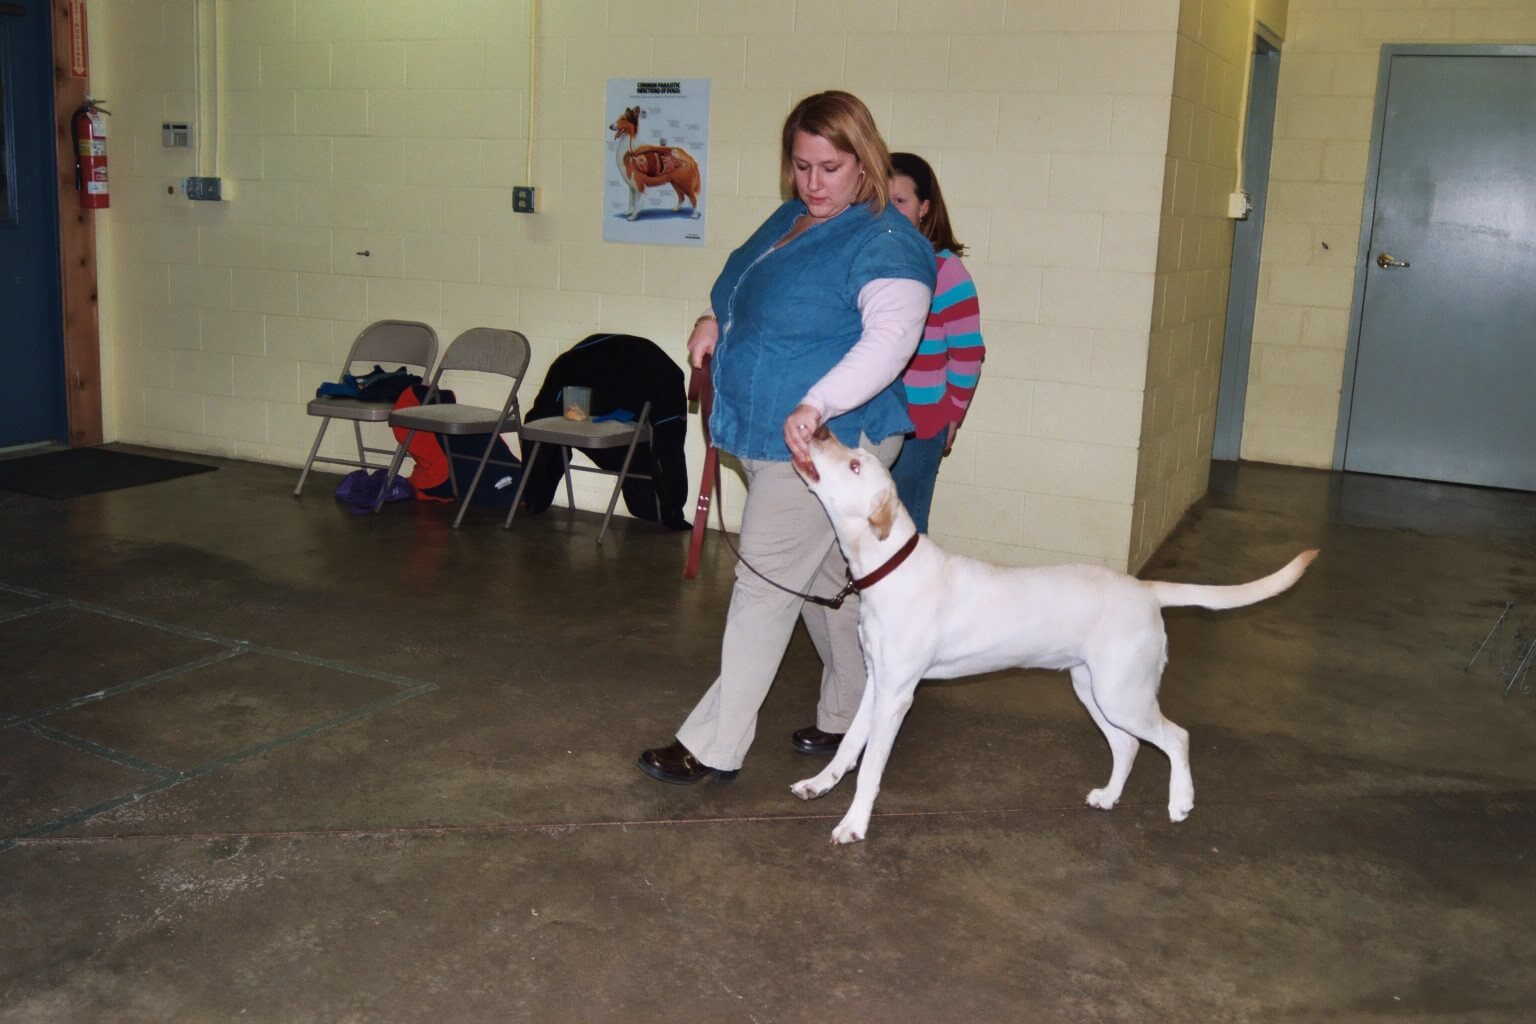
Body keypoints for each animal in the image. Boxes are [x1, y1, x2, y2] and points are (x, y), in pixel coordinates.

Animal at [792, 429, 1320, 847]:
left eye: (855, 464)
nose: (817, 429)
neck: (889, 567)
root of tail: (1146, 589)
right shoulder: (876, 683)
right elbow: (849, 746)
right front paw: (819, 785)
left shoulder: (897, 695)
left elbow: (871, 768)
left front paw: (853, 825)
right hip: (1094, 690)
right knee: (1128, 746)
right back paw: (1108, 797)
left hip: (1123, 695)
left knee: (1176, 737)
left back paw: (1181, 802)